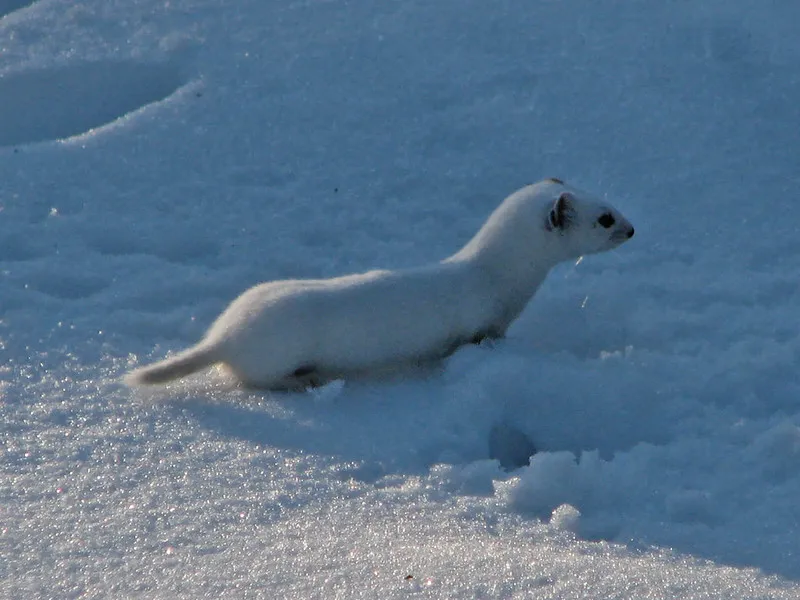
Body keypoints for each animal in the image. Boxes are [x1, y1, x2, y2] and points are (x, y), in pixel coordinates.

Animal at [125, 178, 636, 392]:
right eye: (605, 218)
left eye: (608, 199)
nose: (634, 229)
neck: (499, 280)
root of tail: (224, 334)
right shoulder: (482, 323)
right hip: (277, 351)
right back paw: (308, 378)